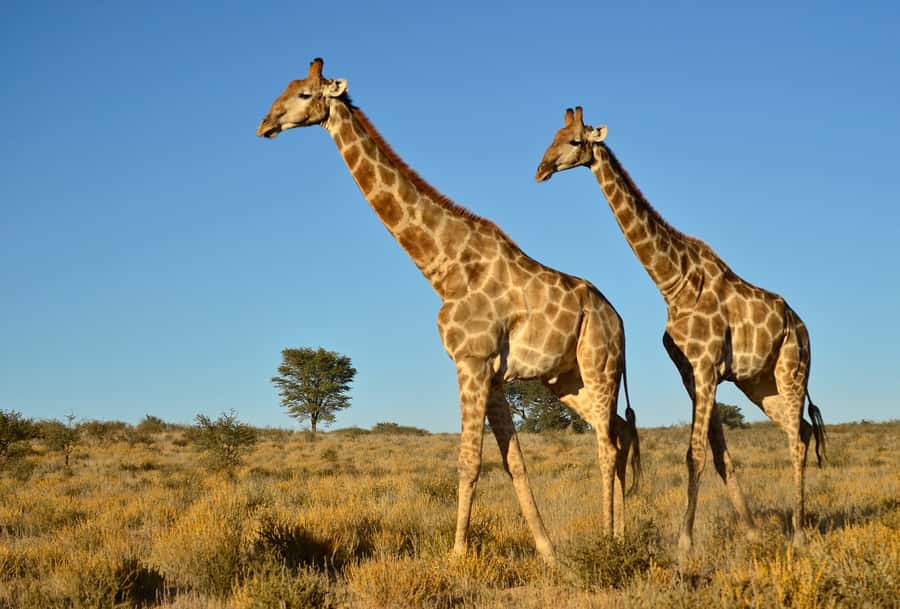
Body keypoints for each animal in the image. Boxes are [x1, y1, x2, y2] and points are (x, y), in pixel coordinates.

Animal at [256, 60, 640, 563]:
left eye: (304, 93)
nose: (265, 124)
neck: (445, 267)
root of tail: (620, 319)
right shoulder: (493, 375)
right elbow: (514, 465)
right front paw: (549, 554)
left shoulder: (471, 362)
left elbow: (469, 462)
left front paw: (458, 555)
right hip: (566, 379)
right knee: (618, 432)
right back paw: (620, 536)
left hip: (600, 366)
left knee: (606, 444)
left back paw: (611, 543)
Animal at [535, 107, 826, 555]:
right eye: (552, 137)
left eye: (575, 141)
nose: (541, 169)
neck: (674, 281)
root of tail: (804, 327)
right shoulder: (692, 373)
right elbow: (719, 455)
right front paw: (751, 532)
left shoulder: (706, 367)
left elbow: (695, 455)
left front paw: (684, 545)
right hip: (761, 385)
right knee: (805, 431)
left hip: (792, 370)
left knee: (796, 439)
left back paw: (798, 533)